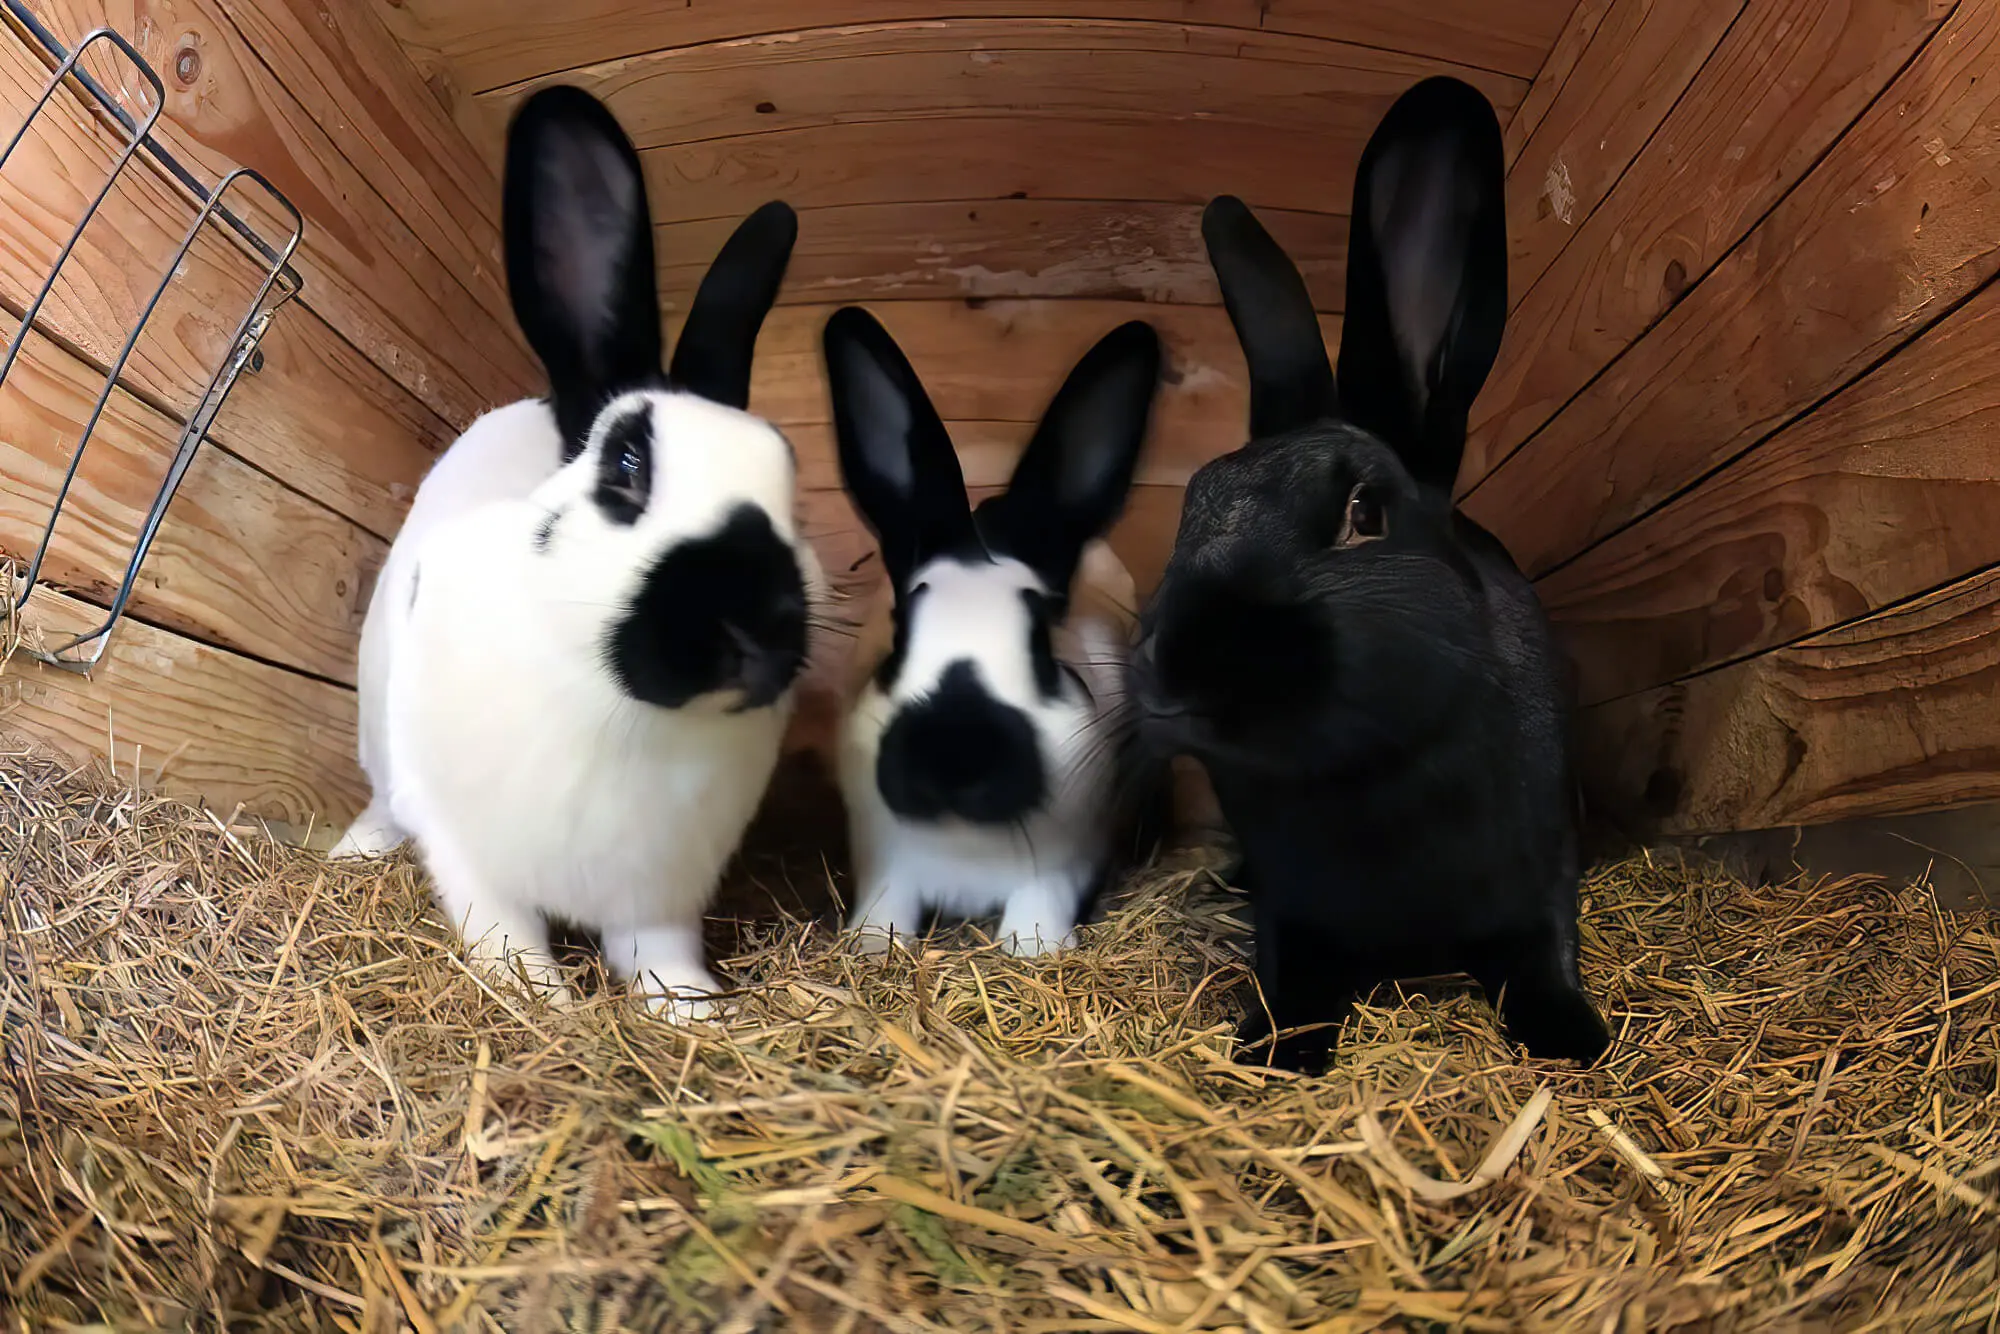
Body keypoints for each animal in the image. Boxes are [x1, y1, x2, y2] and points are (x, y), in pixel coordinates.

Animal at [336, 88, 820, 1016]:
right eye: (626, 462)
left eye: (791, 476)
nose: (757, 625)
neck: (621, 717)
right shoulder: (470, 857)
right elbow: (508, 942)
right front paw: (545, 1010)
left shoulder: (659, 897)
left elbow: (663, 960)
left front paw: (701, 1014)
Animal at [820, 310, 1168, 960]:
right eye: (900, 636)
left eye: (1042, 644)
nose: (954, 754)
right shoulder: (886, 864)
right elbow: (885, 911)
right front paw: (871, 946)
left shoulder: (1058, 868)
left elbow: (1035, 914)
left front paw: (1034, 949)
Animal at [1136, 75, 1616, 1072]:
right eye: (1192, 501)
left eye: (1365, 512)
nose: (1172, 669)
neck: (1371, 773)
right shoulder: (1298, 918)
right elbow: (1291, 981)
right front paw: (1273, 1054)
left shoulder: (1541, 882)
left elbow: (1544, 959)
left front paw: (1572, 1042)